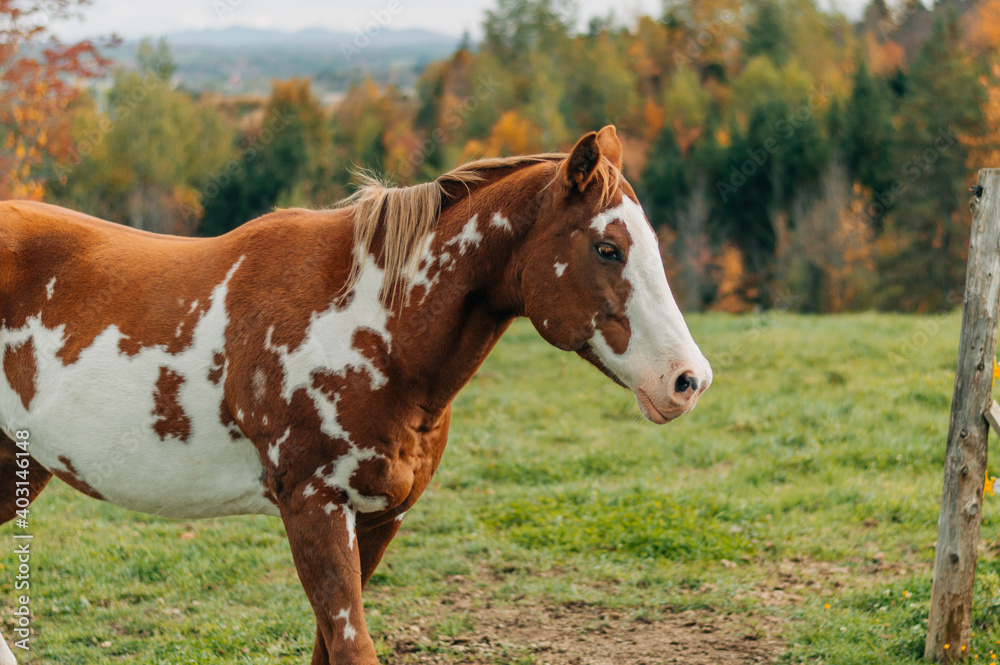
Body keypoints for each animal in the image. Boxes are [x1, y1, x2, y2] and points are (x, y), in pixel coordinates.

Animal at [0, 126, 712, 664]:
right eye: (607, 248)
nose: (688, 380)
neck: (368, 326)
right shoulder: (314, 507)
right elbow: (352, 646)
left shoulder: (377, 517)